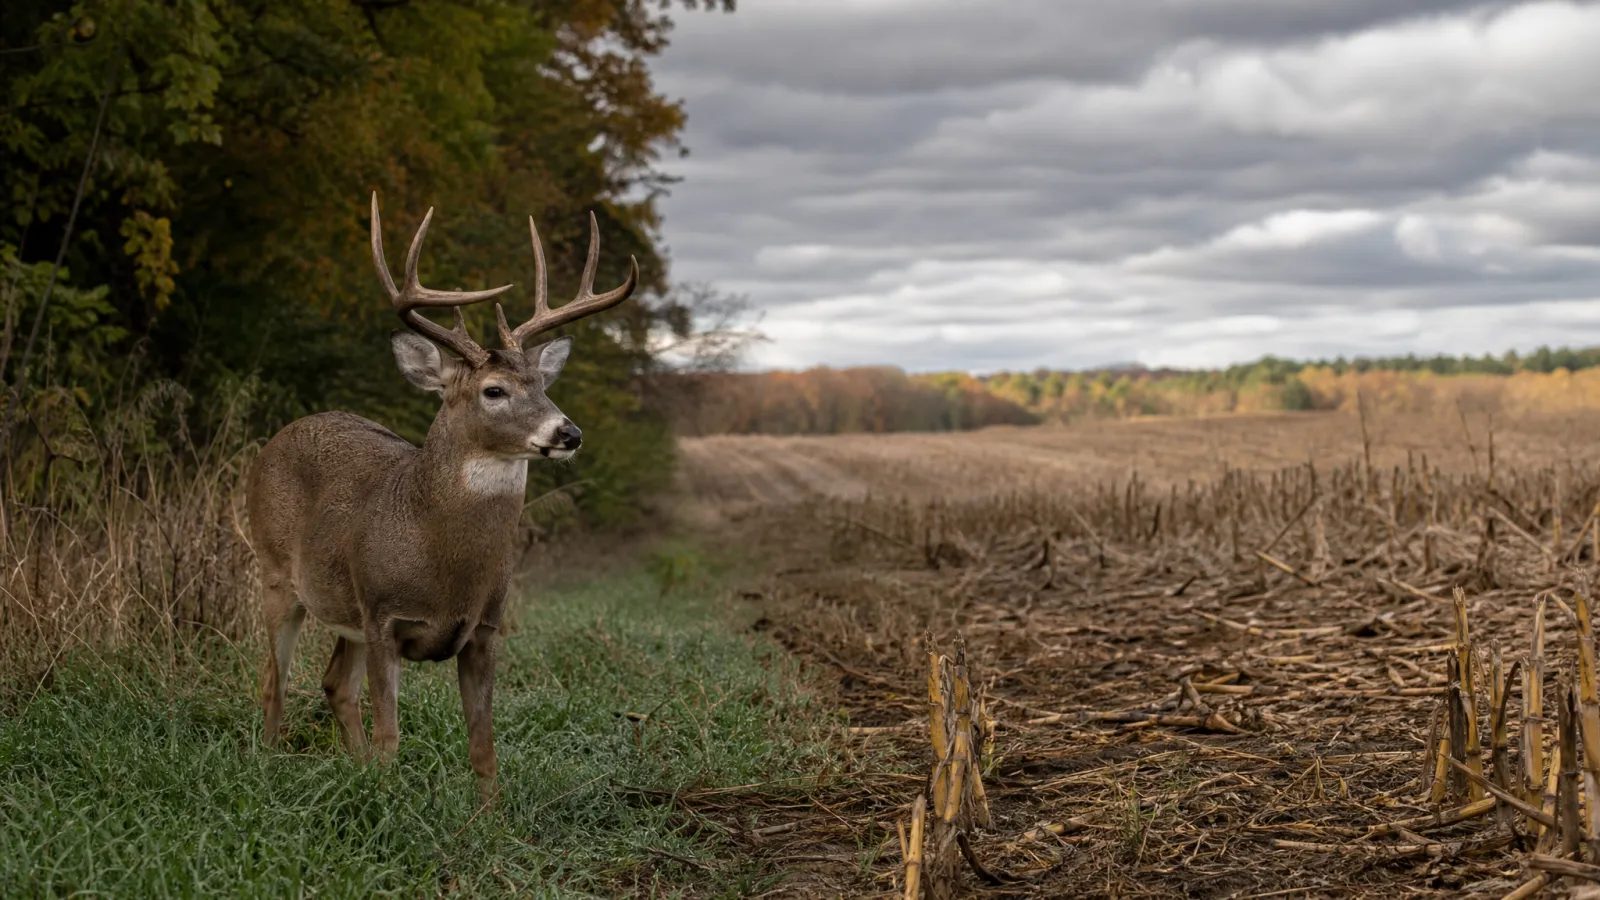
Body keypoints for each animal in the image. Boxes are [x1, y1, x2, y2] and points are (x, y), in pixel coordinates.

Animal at [246, 193, 638, 804]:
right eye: (494, 391)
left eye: (543, 386)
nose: (568, 433)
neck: (443, 564)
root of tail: (279, 438)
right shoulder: (384, 616)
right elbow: (390, 735)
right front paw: (384, 803)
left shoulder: (484, 629)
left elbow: (484, 746)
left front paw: (490, 818)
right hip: (275, 572)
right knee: (273, 678)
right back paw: (267, 762)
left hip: (345, 608)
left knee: (334, 684)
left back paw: (350, 768)